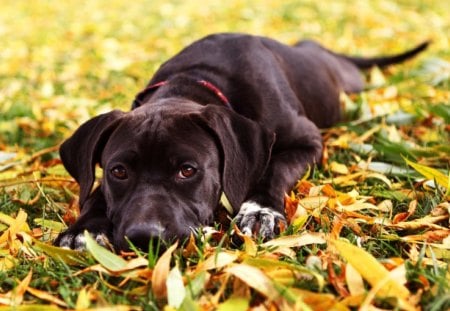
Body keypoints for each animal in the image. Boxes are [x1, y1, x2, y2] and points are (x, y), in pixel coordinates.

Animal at [54, 32, 428, 251]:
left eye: (187, 170)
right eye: (118, 172)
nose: (144, 237)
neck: (196, 80)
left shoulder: (307, 141)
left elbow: (273, 168)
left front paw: (259, 210)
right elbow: (95, 193)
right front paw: (84, 229)